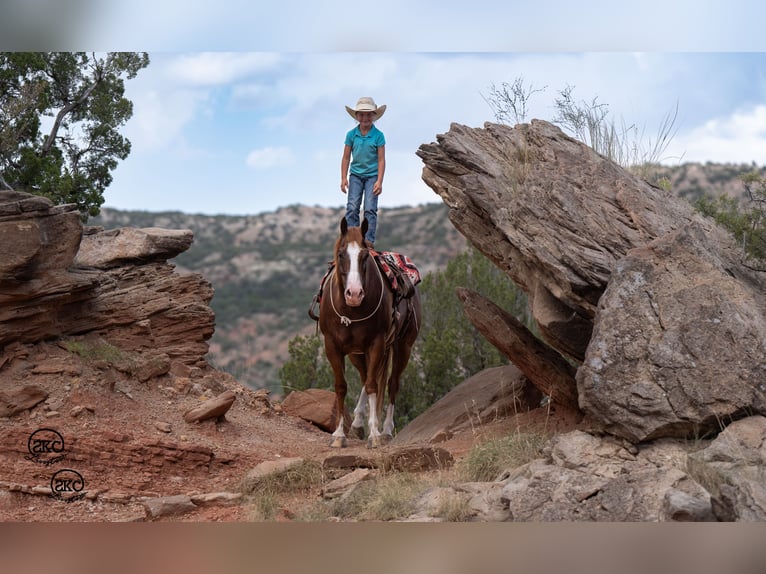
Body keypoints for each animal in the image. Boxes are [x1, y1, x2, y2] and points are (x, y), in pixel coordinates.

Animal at [320, 218, 424, 448]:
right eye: (341, 254)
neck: (350, 309)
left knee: (391, 384)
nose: (354, 294)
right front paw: (339, 435)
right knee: (365, 376)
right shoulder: (333, 346)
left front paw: (374, 434)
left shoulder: (376, 344)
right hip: (356, 353)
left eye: (365, 255)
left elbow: (373, 386)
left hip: (403, 347)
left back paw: (385, 430)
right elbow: (342, 386)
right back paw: (358, 423)